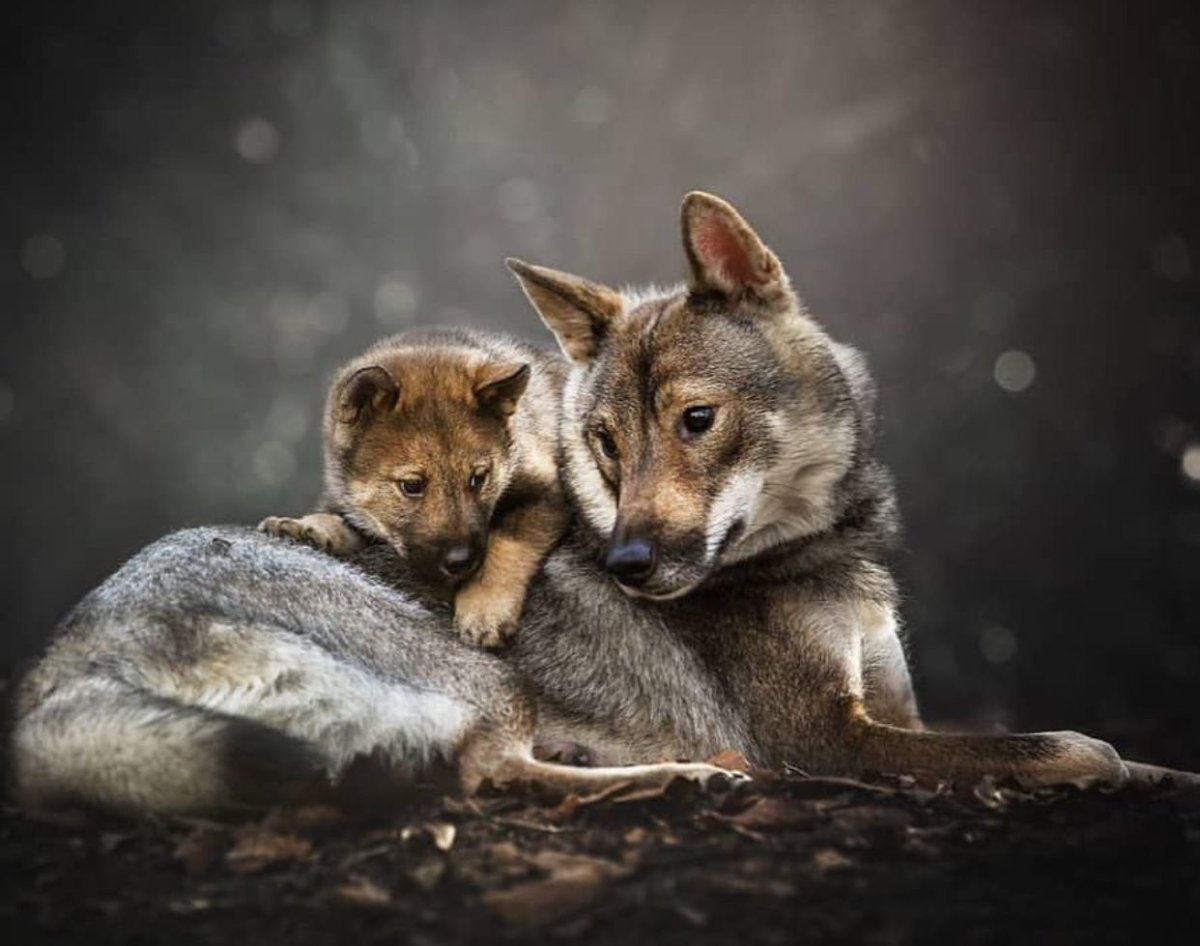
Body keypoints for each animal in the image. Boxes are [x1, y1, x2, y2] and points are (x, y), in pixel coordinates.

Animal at [260, 328, 567, 648]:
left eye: (478, 478)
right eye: (411, 486)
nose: (461, 562)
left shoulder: (546, 491)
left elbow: (505, 547)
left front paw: (484, 609)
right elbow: (346, 519)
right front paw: (309, 527)